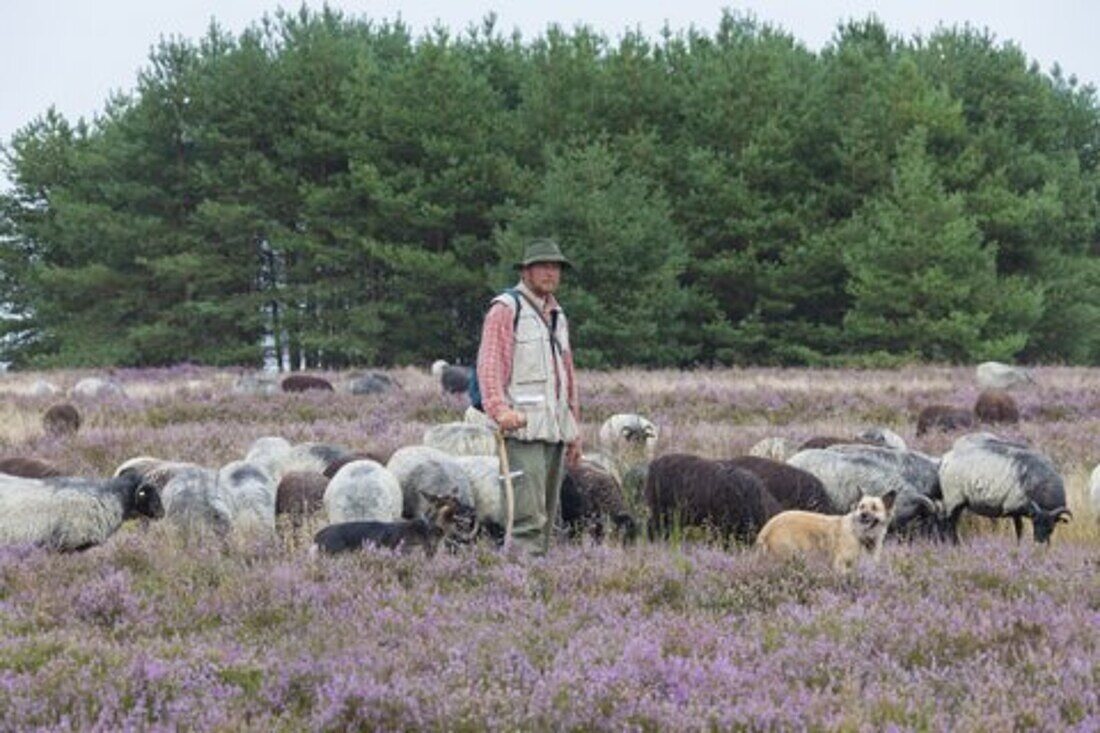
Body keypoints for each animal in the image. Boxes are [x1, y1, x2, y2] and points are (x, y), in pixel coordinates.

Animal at [761, 490, 897, 572]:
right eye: (861, 506)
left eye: (874, 508)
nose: (863, 515)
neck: (860, 535)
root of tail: (769, 525)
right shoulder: (840, 564)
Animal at [932, 429, 1069, 541]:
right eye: (1035, 522)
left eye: (1051, 527)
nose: (1039, 543)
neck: (1045, 486)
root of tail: (945, 459)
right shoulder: (1014, 508)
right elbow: (1019, 529)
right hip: (953, 500)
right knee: (948, 524)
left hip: (959, 503)